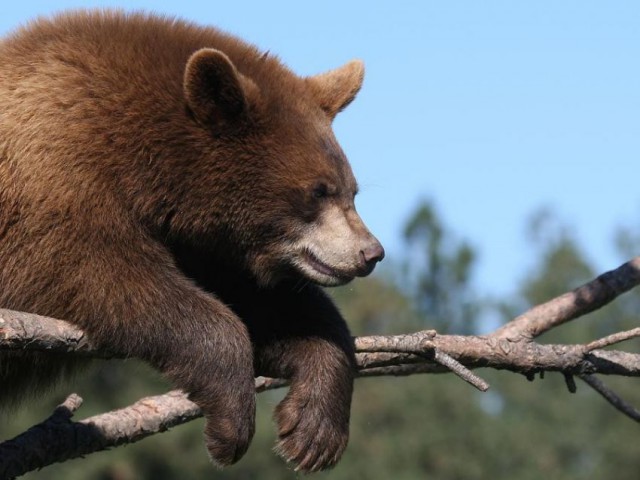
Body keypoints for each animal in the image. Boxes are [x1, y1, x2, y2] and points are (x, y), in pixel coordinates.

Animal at [0, 9, 382, 474]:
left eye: (352, 191)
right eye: (318, 191)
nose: (370, 252)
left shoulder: (204, 244)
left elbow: (272, 305)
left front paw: (312, 431)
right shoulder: (56, 179)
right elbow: (108, 277)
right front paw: (229, 426)